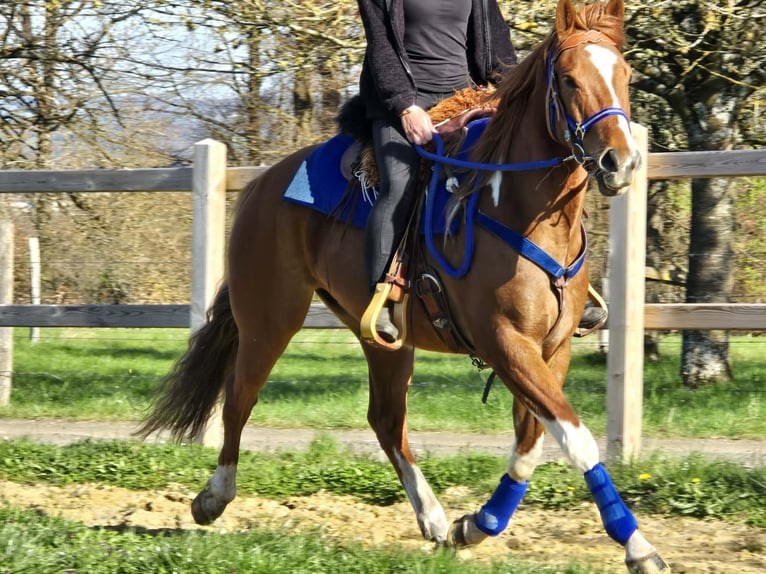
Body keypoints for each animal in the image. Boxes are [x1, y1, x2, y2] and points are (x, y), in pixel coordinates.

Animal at [138, 1, 669, 572]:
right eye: (569, 80)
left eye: (625, 75)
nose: (621, 161)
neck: (517, 207)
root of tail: (261, 185)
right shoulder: (506, 344)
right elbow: (577, 441)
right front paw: (638, 546)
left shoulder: (553, 349)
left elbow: (530, 449)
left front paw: (474, 526)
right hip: (268, 320)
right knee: (239, 398)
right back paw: (213, 498)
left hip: (381, 337)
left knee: (387, 420)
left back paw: (434, 519)